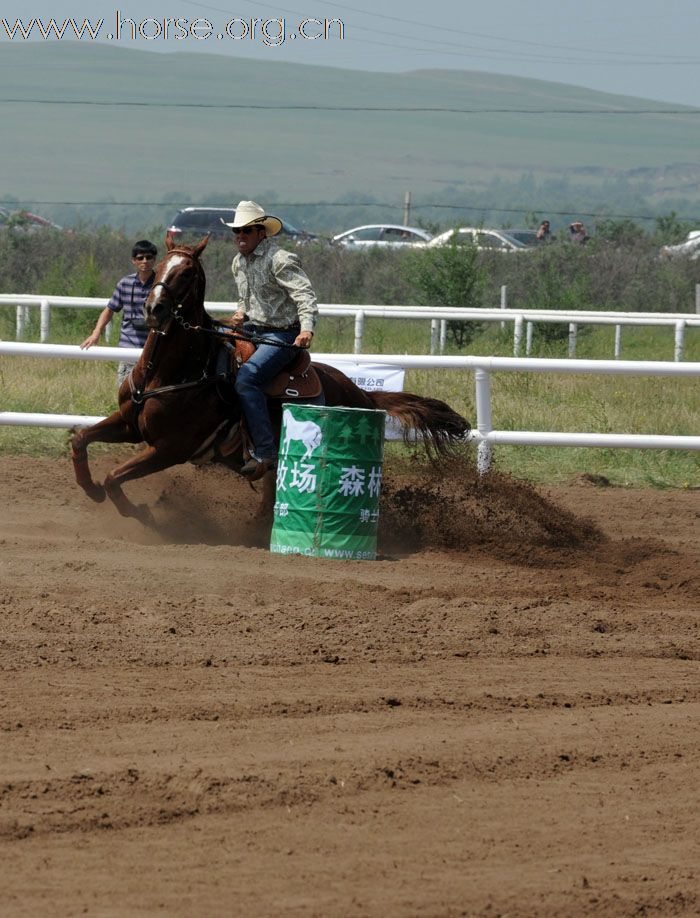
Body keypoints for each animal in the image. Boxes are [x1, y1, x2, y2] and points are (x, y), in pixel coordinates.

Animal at [69, 234, 470, 528]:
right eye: (159, 268)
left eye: (187, 273)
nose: (154, 309)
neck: (174, 372)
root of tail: (363, 396)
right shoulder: (130, 425)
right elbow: (81, 440)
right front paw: (89, 489)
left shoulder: (170, 449)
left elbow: (115, 476)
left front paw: (140, 513)